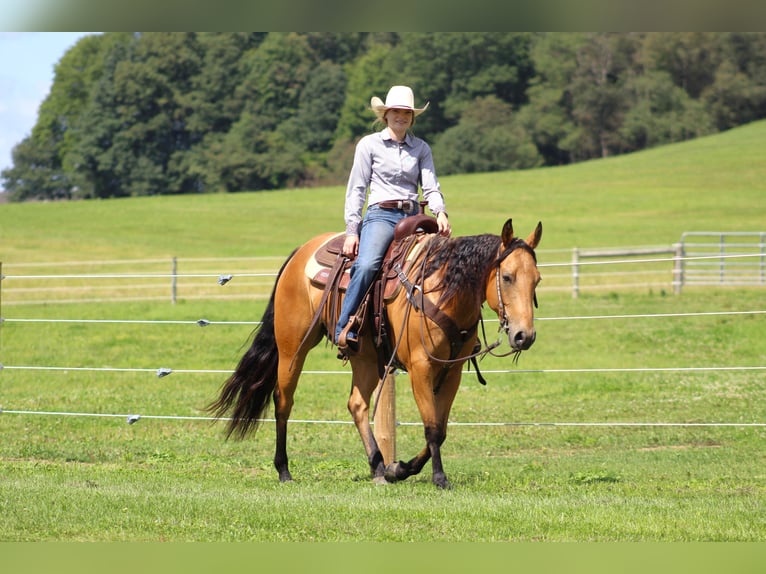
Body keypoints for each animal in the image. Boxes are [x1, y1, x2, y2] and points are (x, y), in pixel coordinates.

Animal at [207, 218, 544, 488]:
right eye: (507, 277)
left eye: (537, 280)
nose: (524, 336)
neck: (441, 290)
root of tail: (300, 252)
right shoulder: (421, 366)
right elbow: (433, 428)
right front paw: (439, 478)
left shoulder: (452, 371)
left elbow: (442, 427)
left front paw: (400, 468)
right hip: (293, 348)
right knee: (283, 402)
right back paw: (284, 470)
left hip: (365, 356)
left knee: (357, 404)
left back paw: (378, 467)